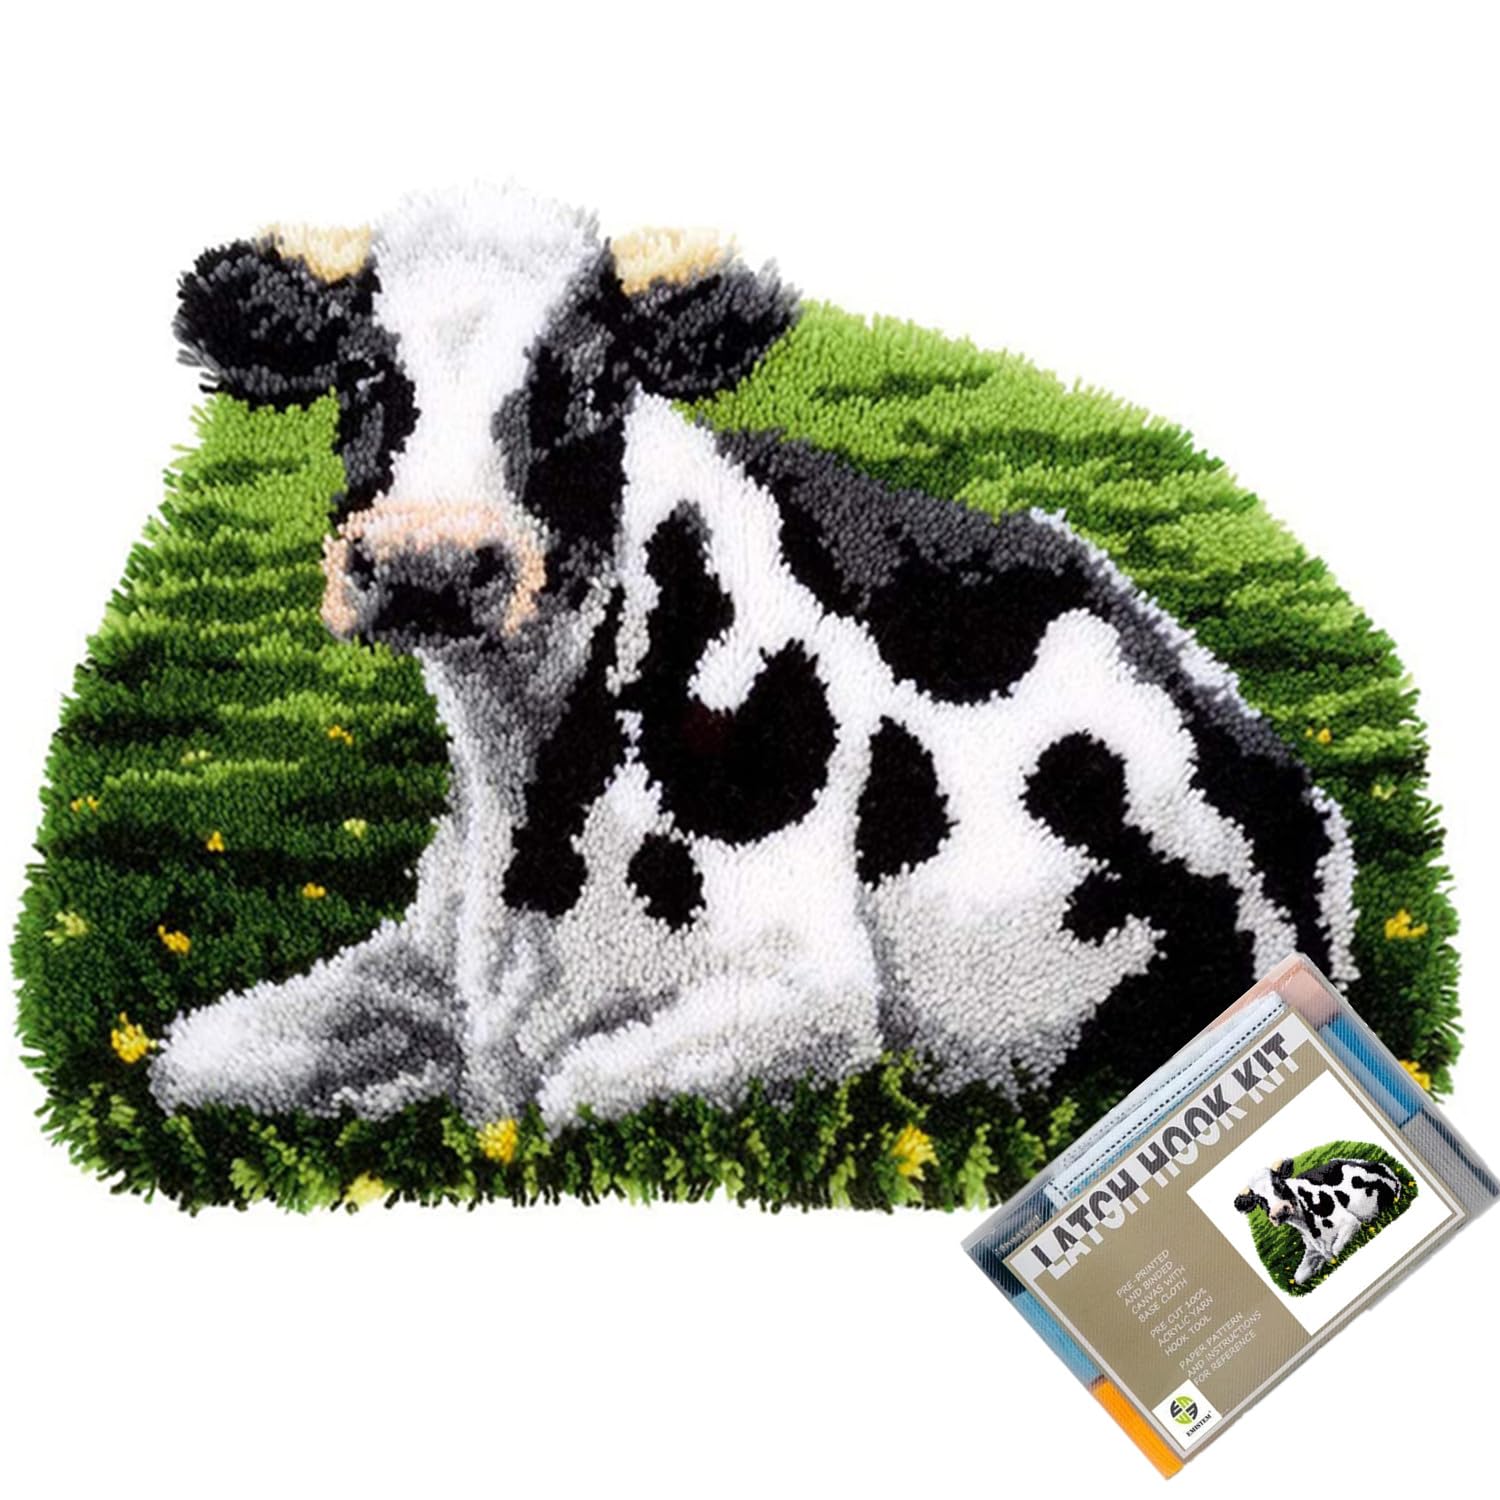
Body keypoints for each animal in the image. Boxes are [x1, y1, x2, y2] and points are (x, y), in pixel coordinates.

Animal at [147, 184, 1357, 1134]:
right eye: (358, 378)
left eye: (591, 386)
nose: (430, 561)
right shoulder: (427, 955)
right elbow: (190, 1057)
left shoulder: (811, 1001)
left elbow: (551, 1097)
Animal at [1235, 1155, 1403, 1285]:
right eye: (1259, 1200)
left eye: (1280, 1184)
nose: (1280, 1211)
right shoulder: (1312, 1249)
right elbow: (1299, 1277)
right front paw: (1319, 1267)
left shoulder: (1350, 1222)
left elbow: (1336, 1251)